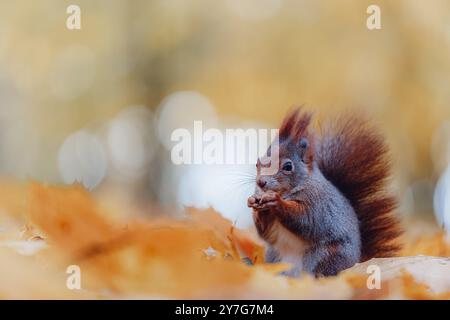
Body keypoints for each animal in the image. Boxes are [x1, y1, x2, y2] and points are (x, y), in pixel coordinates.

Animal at [248, 108, 402, 278]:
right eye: (258, 163)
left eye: (288, 166)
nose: (261, 182)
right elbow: (267, 233)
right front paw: (254, 202)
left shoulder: (318, 203)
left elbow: (305, 219)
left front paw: (276, 201)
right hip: (275, 257)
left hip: (326, 255)